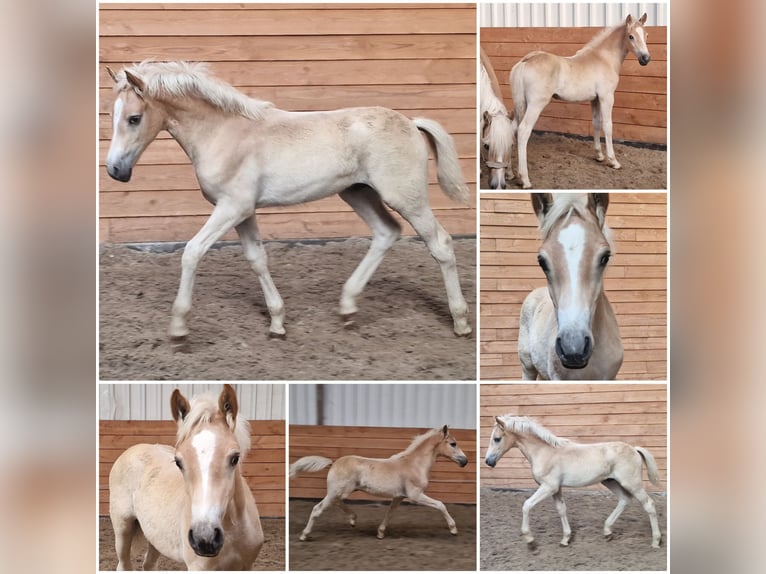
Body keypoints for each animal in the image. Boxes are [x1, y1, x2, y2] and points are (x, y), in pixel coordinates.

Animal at [104, 61, 472, 340]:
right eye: (113, 116)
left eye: (134, 118)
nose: (115, 170)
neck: (224, 133)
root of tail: (411, 122)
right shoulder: (243, 211)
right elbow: (257, 259)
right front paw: (278, 322)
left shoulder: (232, 207)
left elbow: (192, 252)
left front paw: (179, 327)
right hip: (358, 192)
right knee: (387, 232)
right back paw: (347, 308)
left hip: (407, 197)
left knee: (440, 243)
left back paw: (461, 322)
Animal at [109, 385, 263, 570]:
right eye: (179, 462)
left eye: (235, 458)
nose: (205, 538)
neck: (233, 530)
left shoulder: (246, 565)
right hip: (123, 530)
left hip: (155, 538)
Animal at [289, 425, 468, 540]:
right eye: (453, 444)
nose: (464, 461)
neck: (414, 464)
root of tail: (333, 463)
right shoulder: (415, 495)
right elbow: (440, 505)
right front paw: (453, 529)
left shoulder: (399, 496)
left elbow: (390, 512)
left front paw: (380, 533)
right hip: (336, 491)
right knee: (317, 509)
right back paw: (304, 535)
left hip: (342, 492)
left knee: (337, 503)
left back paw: (353, 519)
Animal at [484, 415, 662, 548]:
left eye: (497, 439)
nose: (488, 461)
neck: (545, 452)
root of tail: (634, 449)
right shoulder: (556, 488)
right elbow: (561, 510)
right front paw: (565, 539)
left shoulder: (548, 487)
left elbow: (527, 505)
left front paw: (529, 539)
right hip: (611, 482)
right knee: (624, 500)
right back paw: (607, 532)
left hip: (632, 483)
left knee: (649, 504)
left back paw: (656, 541)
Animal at [510, 14, 651, 188]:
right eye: (631, 36)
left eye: (646, 35)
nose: (645, 59)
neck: (604, 59)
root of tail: (525, 61)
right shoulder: (606, 97)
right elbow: (608, 126)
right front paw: (613, 161)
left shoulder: (595, 99)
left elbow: (596, 123)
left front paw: (599, 156)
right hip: (536, 105)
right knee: (523, 131)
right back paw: (525, 179)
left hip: (520, 105)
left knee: (512, 128)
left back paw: (509, 173)